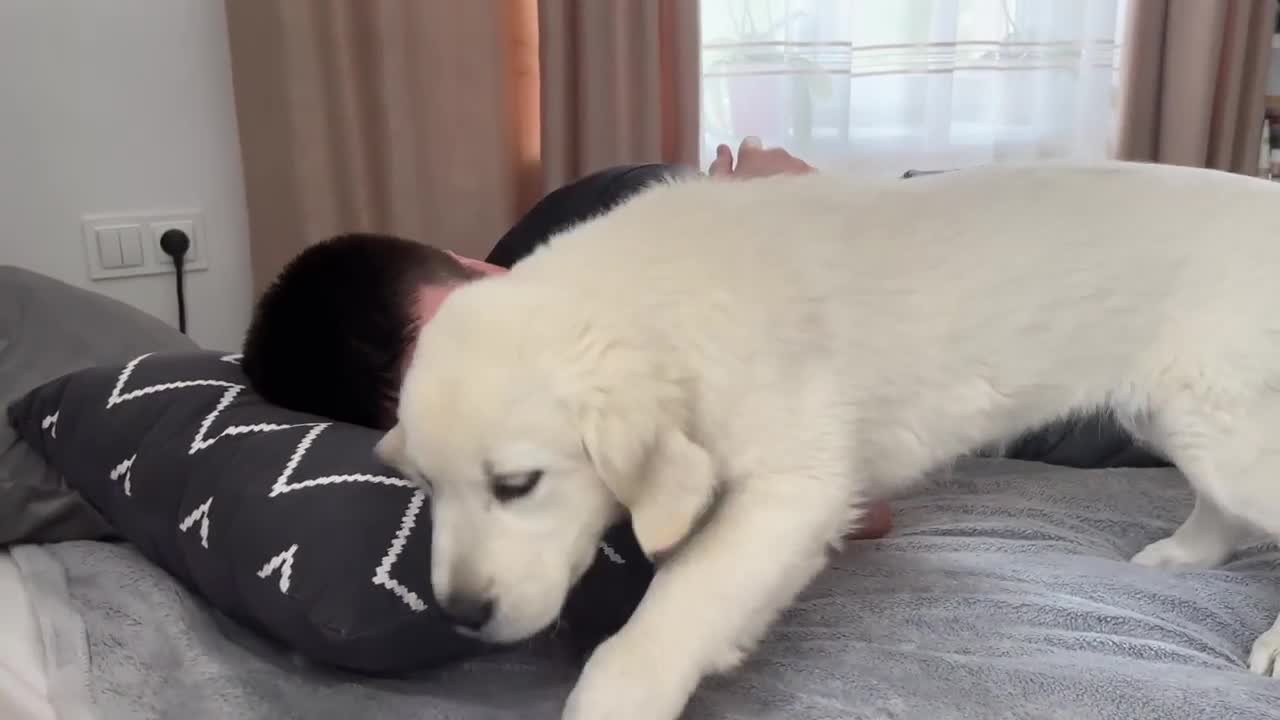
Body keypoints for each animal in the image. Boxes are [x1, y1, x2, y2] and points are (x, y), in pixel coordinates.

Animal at [381, 162, 1280, 717]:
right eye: (426, 489)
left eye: (517, 485)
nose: (460, 613)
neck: (653, 303)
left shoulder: (792, 489)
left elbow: (680, 603)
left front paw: (615, 694)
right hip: (1181, 412)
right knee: (1223, 508)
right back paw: (1182, 555)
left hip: (1224, 421)